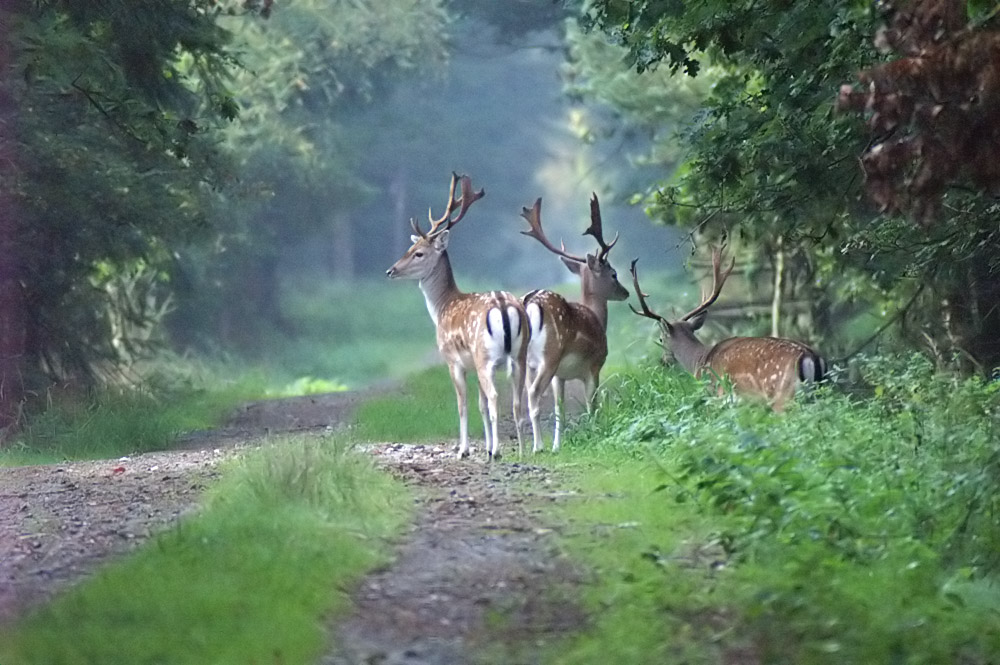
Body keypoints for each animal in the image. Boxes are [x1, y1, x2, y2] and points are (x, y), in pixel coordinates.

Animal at [384, 174, 532, 460]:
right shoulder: (474, 364)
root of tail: (502, 305)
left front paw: (465, 450)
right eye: (410, 246)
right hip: (518, 355)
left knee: (496, 397)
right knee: (517, 401)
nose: (391, 270)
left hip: (486, 356)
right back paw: (521, 450)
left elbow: (463, 405)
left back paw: (498, 452)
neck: (442, 306)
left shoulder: (454, 361)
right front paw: (485, 446)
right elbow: (480, 405)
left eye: (419, 252)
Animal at [520, 193, 628, 452]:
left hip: (525, 360)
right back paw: (537, 446)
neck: (597, 318)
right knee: (533, 395)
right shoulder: (595, 365)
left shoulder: (560, 376)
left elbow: (560, 408)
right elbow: (592, 404)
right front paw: (596, 435)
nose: (626, 292)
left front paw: (558, 446)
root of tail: (531, 303)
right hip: (550, 354)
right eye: (614, 274)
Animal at [628, 245, 824, 410]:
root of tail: (811, 357)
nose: (662, 361)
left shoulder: (717, 395)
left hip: (781, 394)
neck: (699, 361)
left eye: (661, 338)